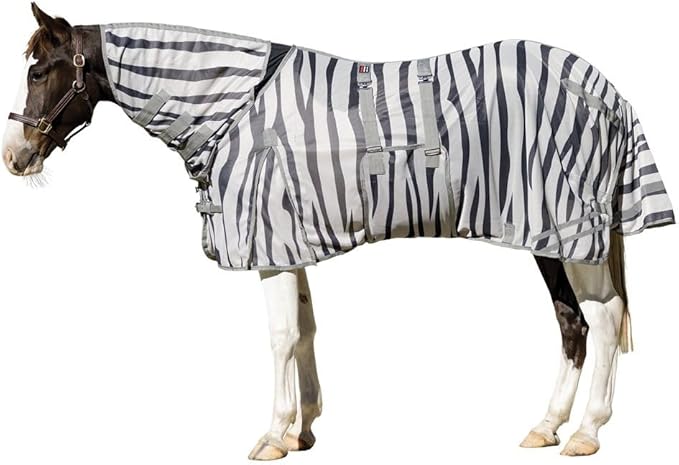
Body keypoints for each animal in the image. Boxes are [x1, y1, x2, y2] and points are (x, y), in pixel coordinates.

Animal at [2, 3, 674, 460]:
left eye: (39, 72)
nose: (14, 157)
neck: (235, 107)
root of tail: (601, 87)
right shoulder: (291, 240)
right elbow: (304, 331)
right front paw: (303, 430)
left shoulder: (269, 243)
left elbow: (279, 337)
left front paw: (272, 434)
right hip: (548, 237)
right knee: (573, 323)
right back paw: (546, 426)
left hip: (573, 230)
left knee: (605, 319)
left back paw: (586, 432)